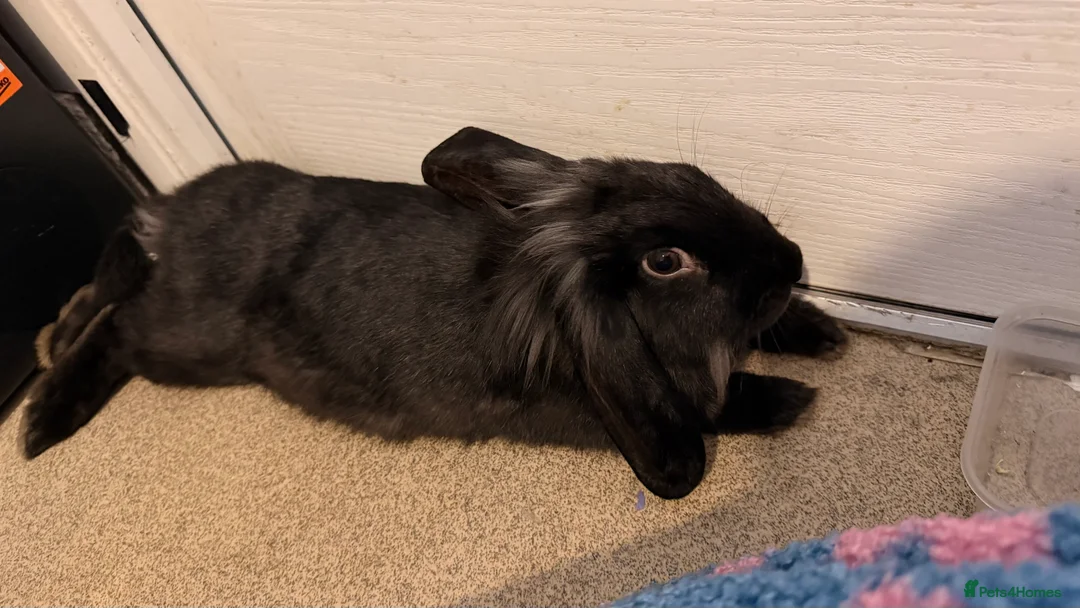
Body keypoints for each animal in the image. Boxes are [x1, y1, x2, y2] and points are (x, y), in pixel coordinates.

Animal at [22, 126, 846, 499]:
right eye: (666, 263)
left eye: (684, 174)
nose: (793, 259)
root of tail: (170, 213)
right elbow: (709, 405)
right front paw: (792, 398)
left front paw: (825, 332)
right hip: (187, 344)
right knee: (118, 323)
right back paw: (42, 415)